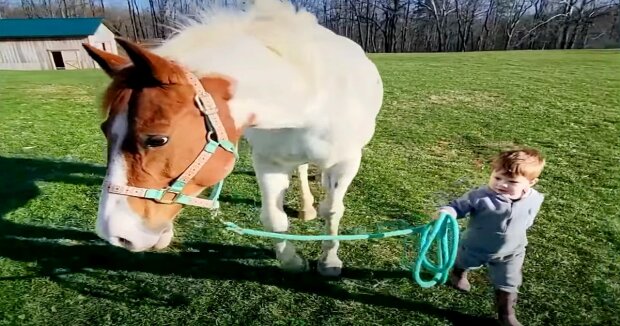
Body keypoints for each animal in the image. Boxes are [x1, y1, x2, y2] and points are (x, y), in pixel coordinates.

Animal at [82, 0, 382, 276]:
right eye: (105, 130)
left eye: (157, 140)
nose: (115, 235)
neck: (307, 102)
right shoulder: (269, 163)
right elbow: (274, 217)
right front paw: (292, 262)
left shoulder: (346, 162)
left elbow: (333, 211)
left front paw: (329, 261)